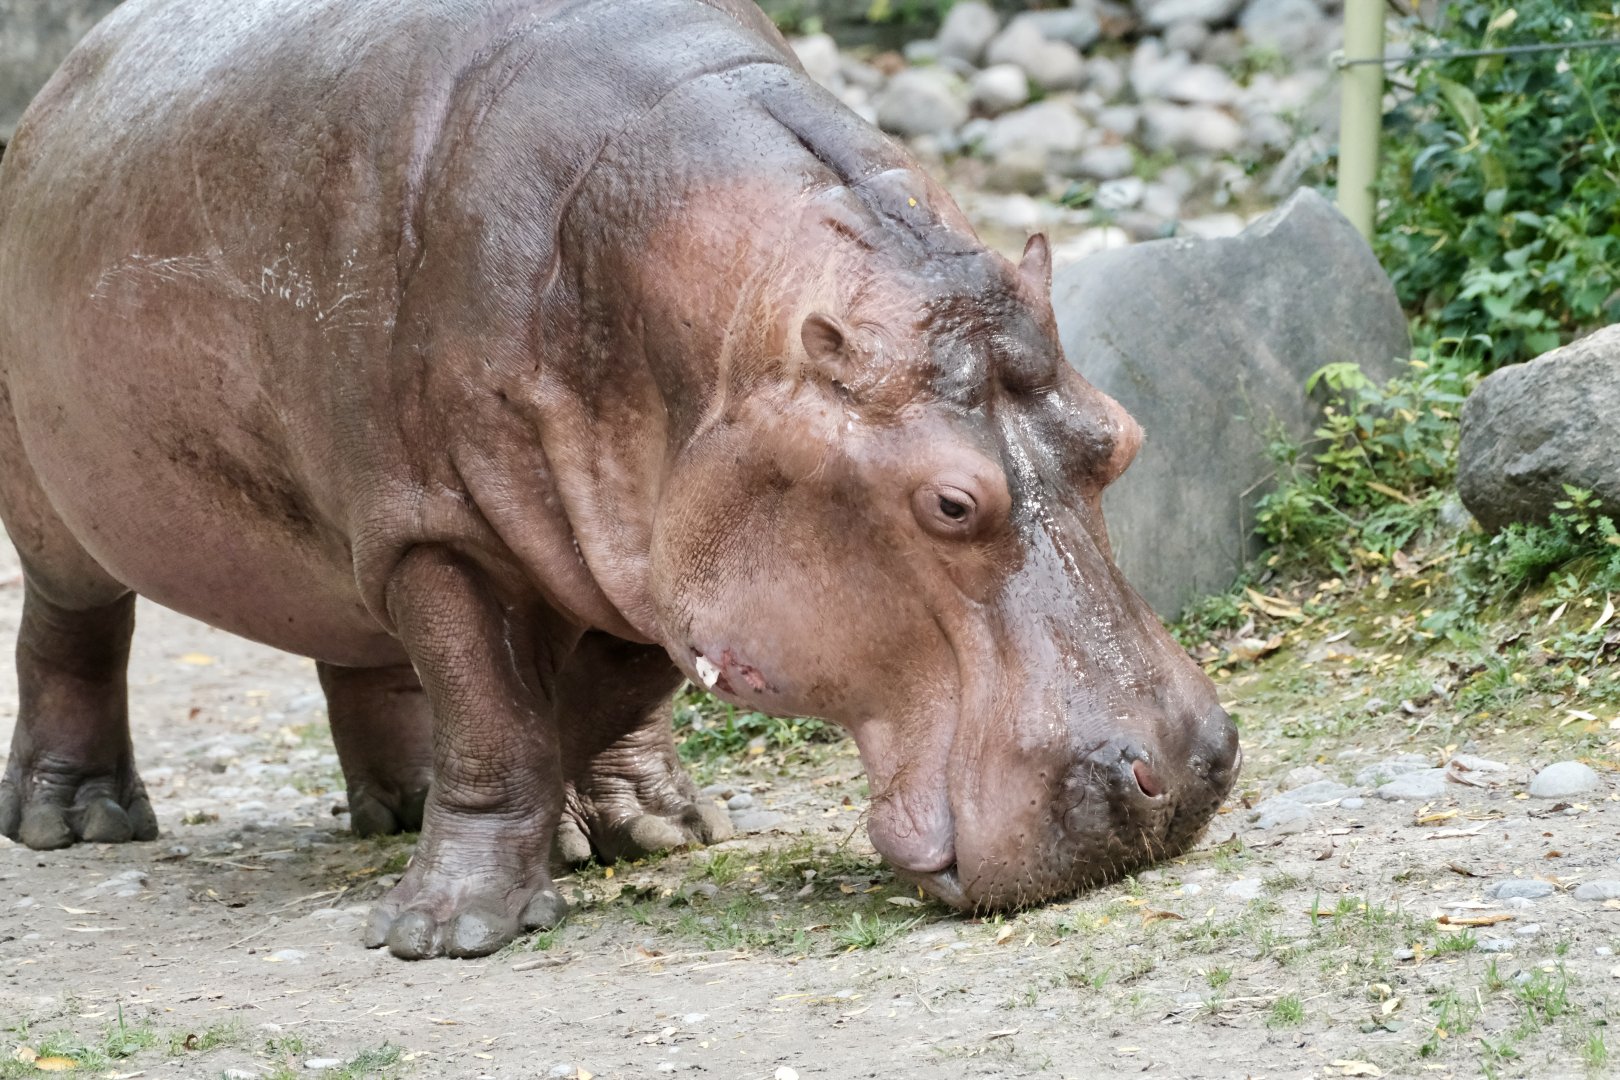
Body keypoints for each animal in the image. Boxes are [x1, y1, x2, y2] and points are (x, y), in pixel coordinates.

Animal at [0, 0, 1240, 959]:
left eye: (1121, 436)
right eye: (949, 502)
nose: (1184, 775)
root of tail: (58, 83)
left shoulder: (654, 538)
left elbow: (590, 696)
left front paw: (618, 833)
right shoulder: (438, 529)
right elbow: (495, 710)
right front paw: (449, 932)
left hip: (350, 531)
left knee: (358, 647)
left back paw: (443, 811)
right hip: (59, 506)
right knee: (73, 631)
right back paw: (76, 819)